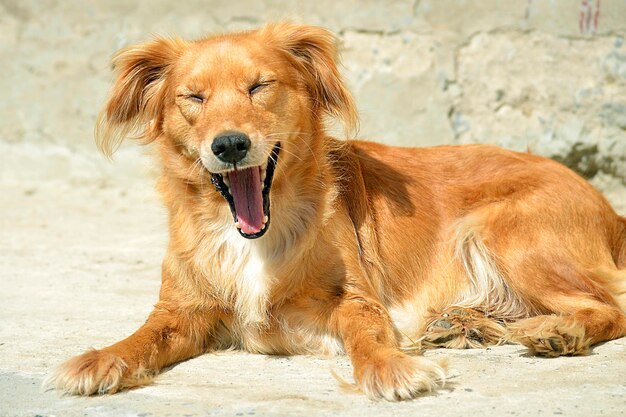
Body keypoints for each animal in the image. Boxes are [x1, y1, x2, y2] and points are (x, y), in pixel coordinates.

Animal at [47, 22, 624, 400]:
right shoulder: (183, 311)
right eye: (194, 98)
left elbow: (367, 334)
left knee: (609, 306)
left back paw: (557, 332)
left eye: (259, 86)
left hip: (500, 231)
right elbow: (143, 336)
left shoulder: (354, 298)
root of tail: (607, 208)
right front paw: (101, 358)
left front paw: (392, 368)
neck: (253, 234)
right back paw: (467, 325)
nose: (230, 145)